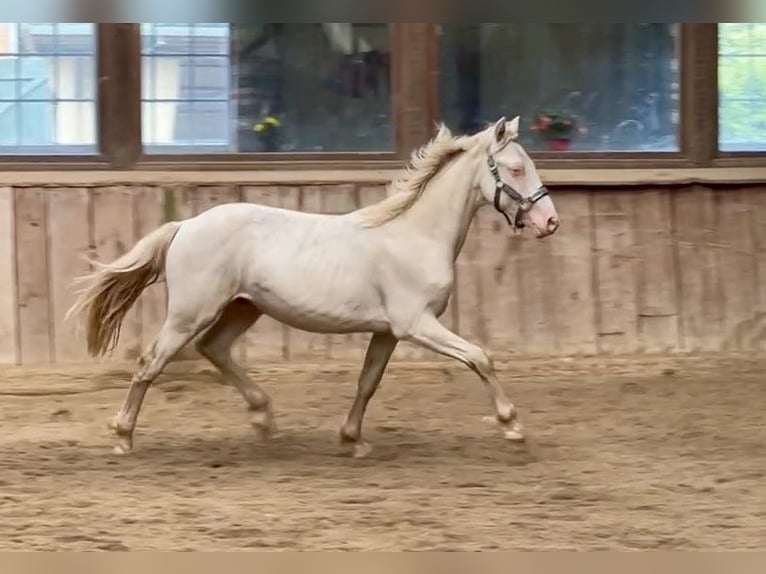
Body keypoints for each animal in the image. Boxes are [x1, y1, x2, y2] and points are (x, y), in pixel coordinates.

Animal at [67, 117, 560, 460]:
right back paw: (123, 437)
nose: (550, 221)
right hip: (192, 311)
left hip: (243, 307)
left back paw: (264, 418)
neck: (415, 234)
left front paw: (352, 441)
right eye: (516, 169)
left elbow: (367, 383)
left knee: (214, 348)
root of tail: (184, 225)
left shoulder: (387, 331)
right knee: (151, 363)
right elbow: (480, 357)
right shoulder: (416, 324)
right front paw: (514, 429)